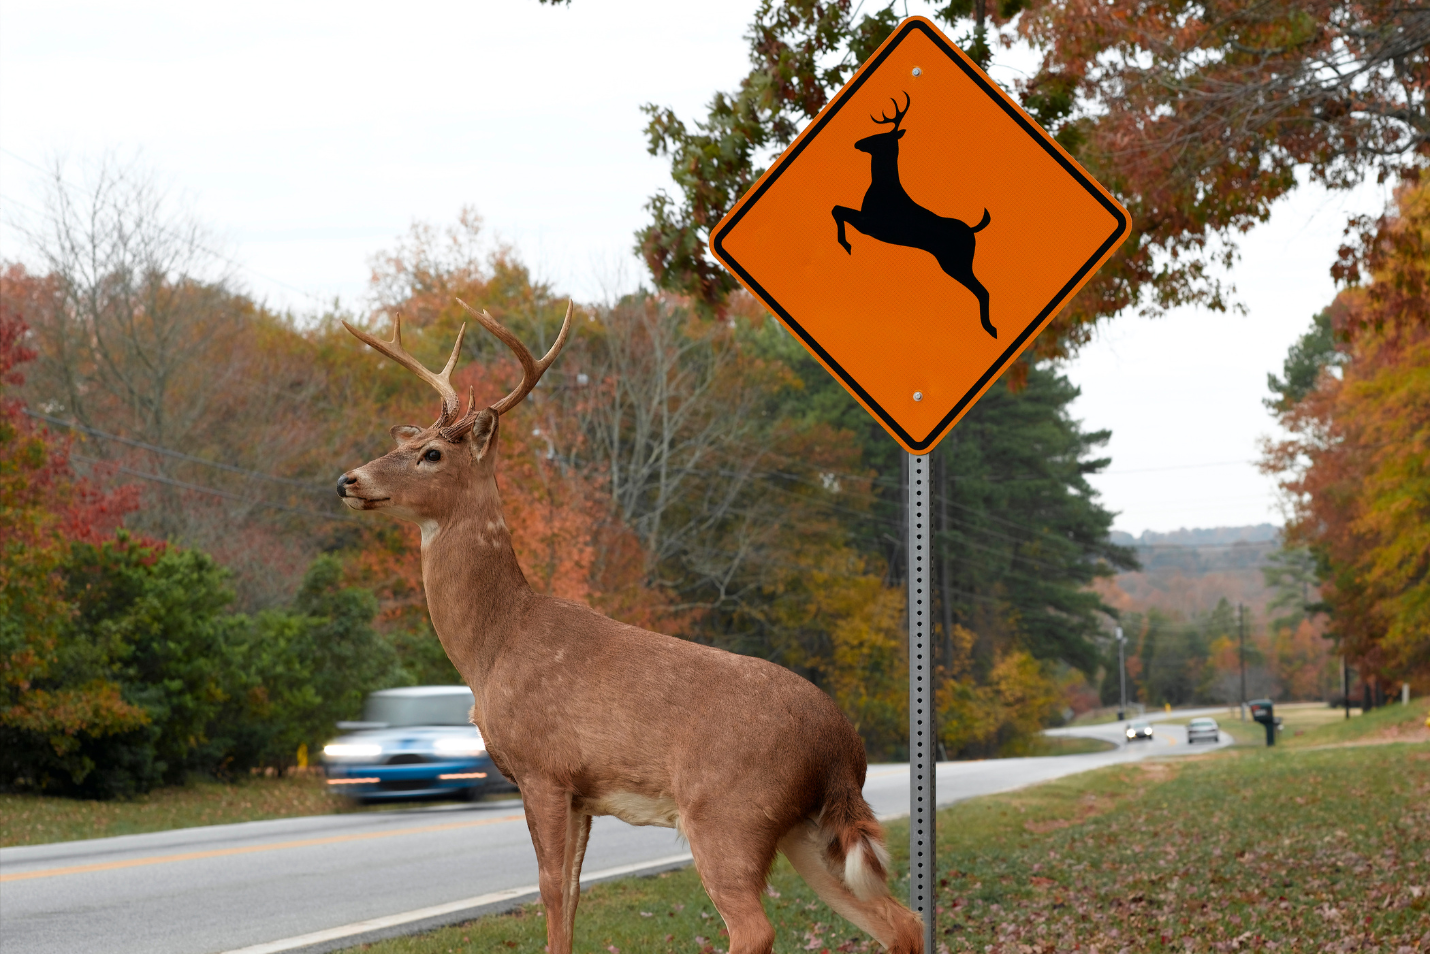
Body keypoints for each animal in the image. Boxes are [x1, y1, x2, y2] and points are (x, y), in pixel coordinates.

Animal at [334, 304, 920, 954]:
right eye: (407, 442)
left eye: (432, 453)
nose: (348, 480)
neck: (494, 646)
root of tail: (843, 746)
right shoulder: (583, 794)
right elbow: (571, 894)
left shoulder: (543, 768)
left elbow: (550, 891)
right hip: (807, 828)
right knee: (901, 920)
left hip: (729, 812)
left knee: (756, 928)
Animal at [829, 92, 995, 338]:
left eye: (880, 137)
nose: (858, 143)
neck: (882, 185)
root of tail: (972, 230)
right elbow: (837, 209)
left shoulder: (871, 224)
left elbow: (837, 210)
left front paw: (846, 244)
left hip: (957, 262)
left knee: (983, 291)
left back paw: (990, 329)